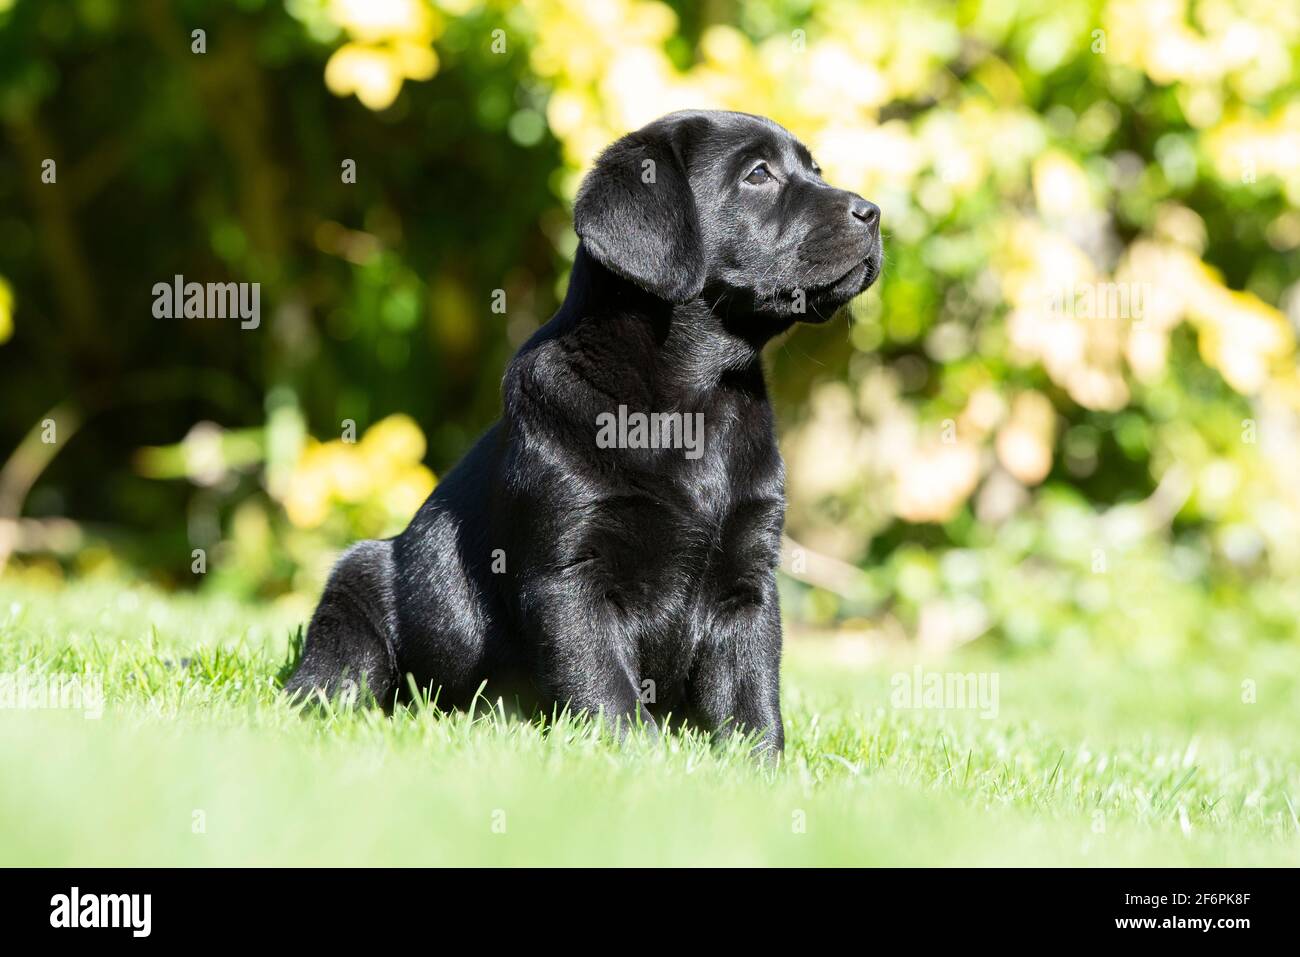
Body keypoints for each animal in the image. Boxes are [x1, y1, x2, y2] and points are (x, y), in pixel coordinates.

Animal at [287, 110, 883, 754]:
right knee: (335, 675)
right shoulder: (569, 574)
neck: (698, 400)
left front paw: (757, 768)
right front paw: (635, 760)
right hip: (356, 585)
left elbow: (751, 694)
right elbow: (604, 685)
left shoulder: (748, 580)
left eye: (815, 169)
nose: (874, 212)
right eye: (758, 174)